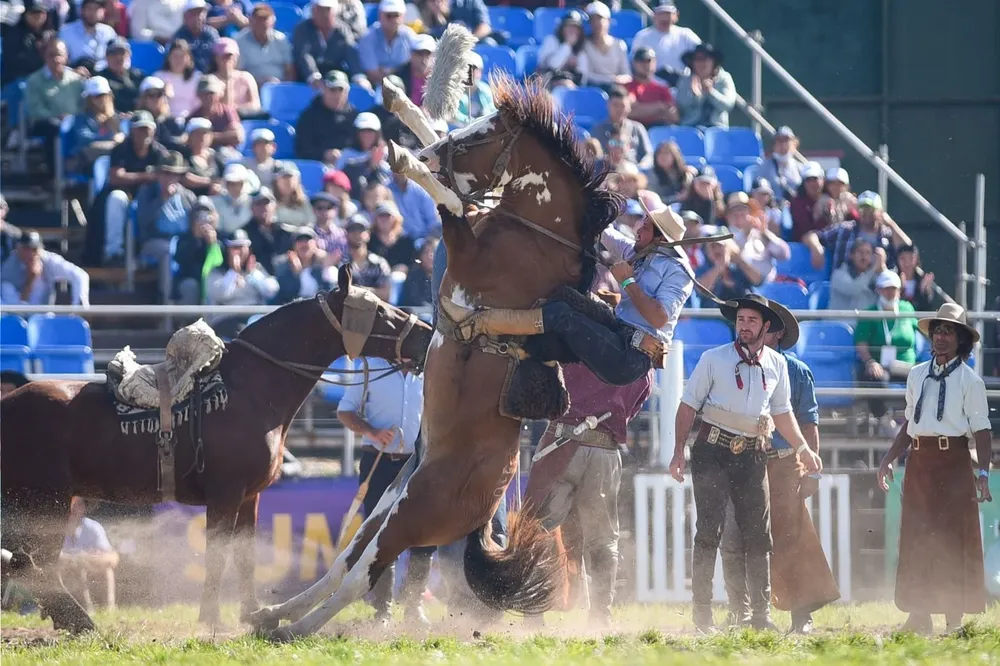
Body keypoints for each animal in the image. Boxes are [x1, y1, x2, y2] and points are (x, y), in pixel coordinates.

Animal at [0, 267, 433, 633]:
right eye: (383, 313)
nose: (428, 336)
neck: (250, 389)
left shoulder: (249, 497)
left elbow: (244, 558)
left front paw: (252, 613)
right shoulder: (224, 495)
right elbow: (217, 556)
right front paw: (213, 619)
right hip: (45, 502)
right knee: (33, 564)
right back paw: (79, 619)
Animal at [249, 72, 624, 640]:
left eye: (479, 137)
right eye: (471, 124)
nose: (429, 156)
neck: (537, 236)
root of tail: (482, 519)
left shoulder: (467, 253)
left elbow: (449, 202)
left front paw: (409, 159)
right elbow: (448, 180)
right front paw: (403, 107)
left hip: (412, 515)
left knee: (363, 575)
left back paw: (293, 629)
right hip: (388, 503)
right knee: (347, 562)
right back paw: (273, 613)